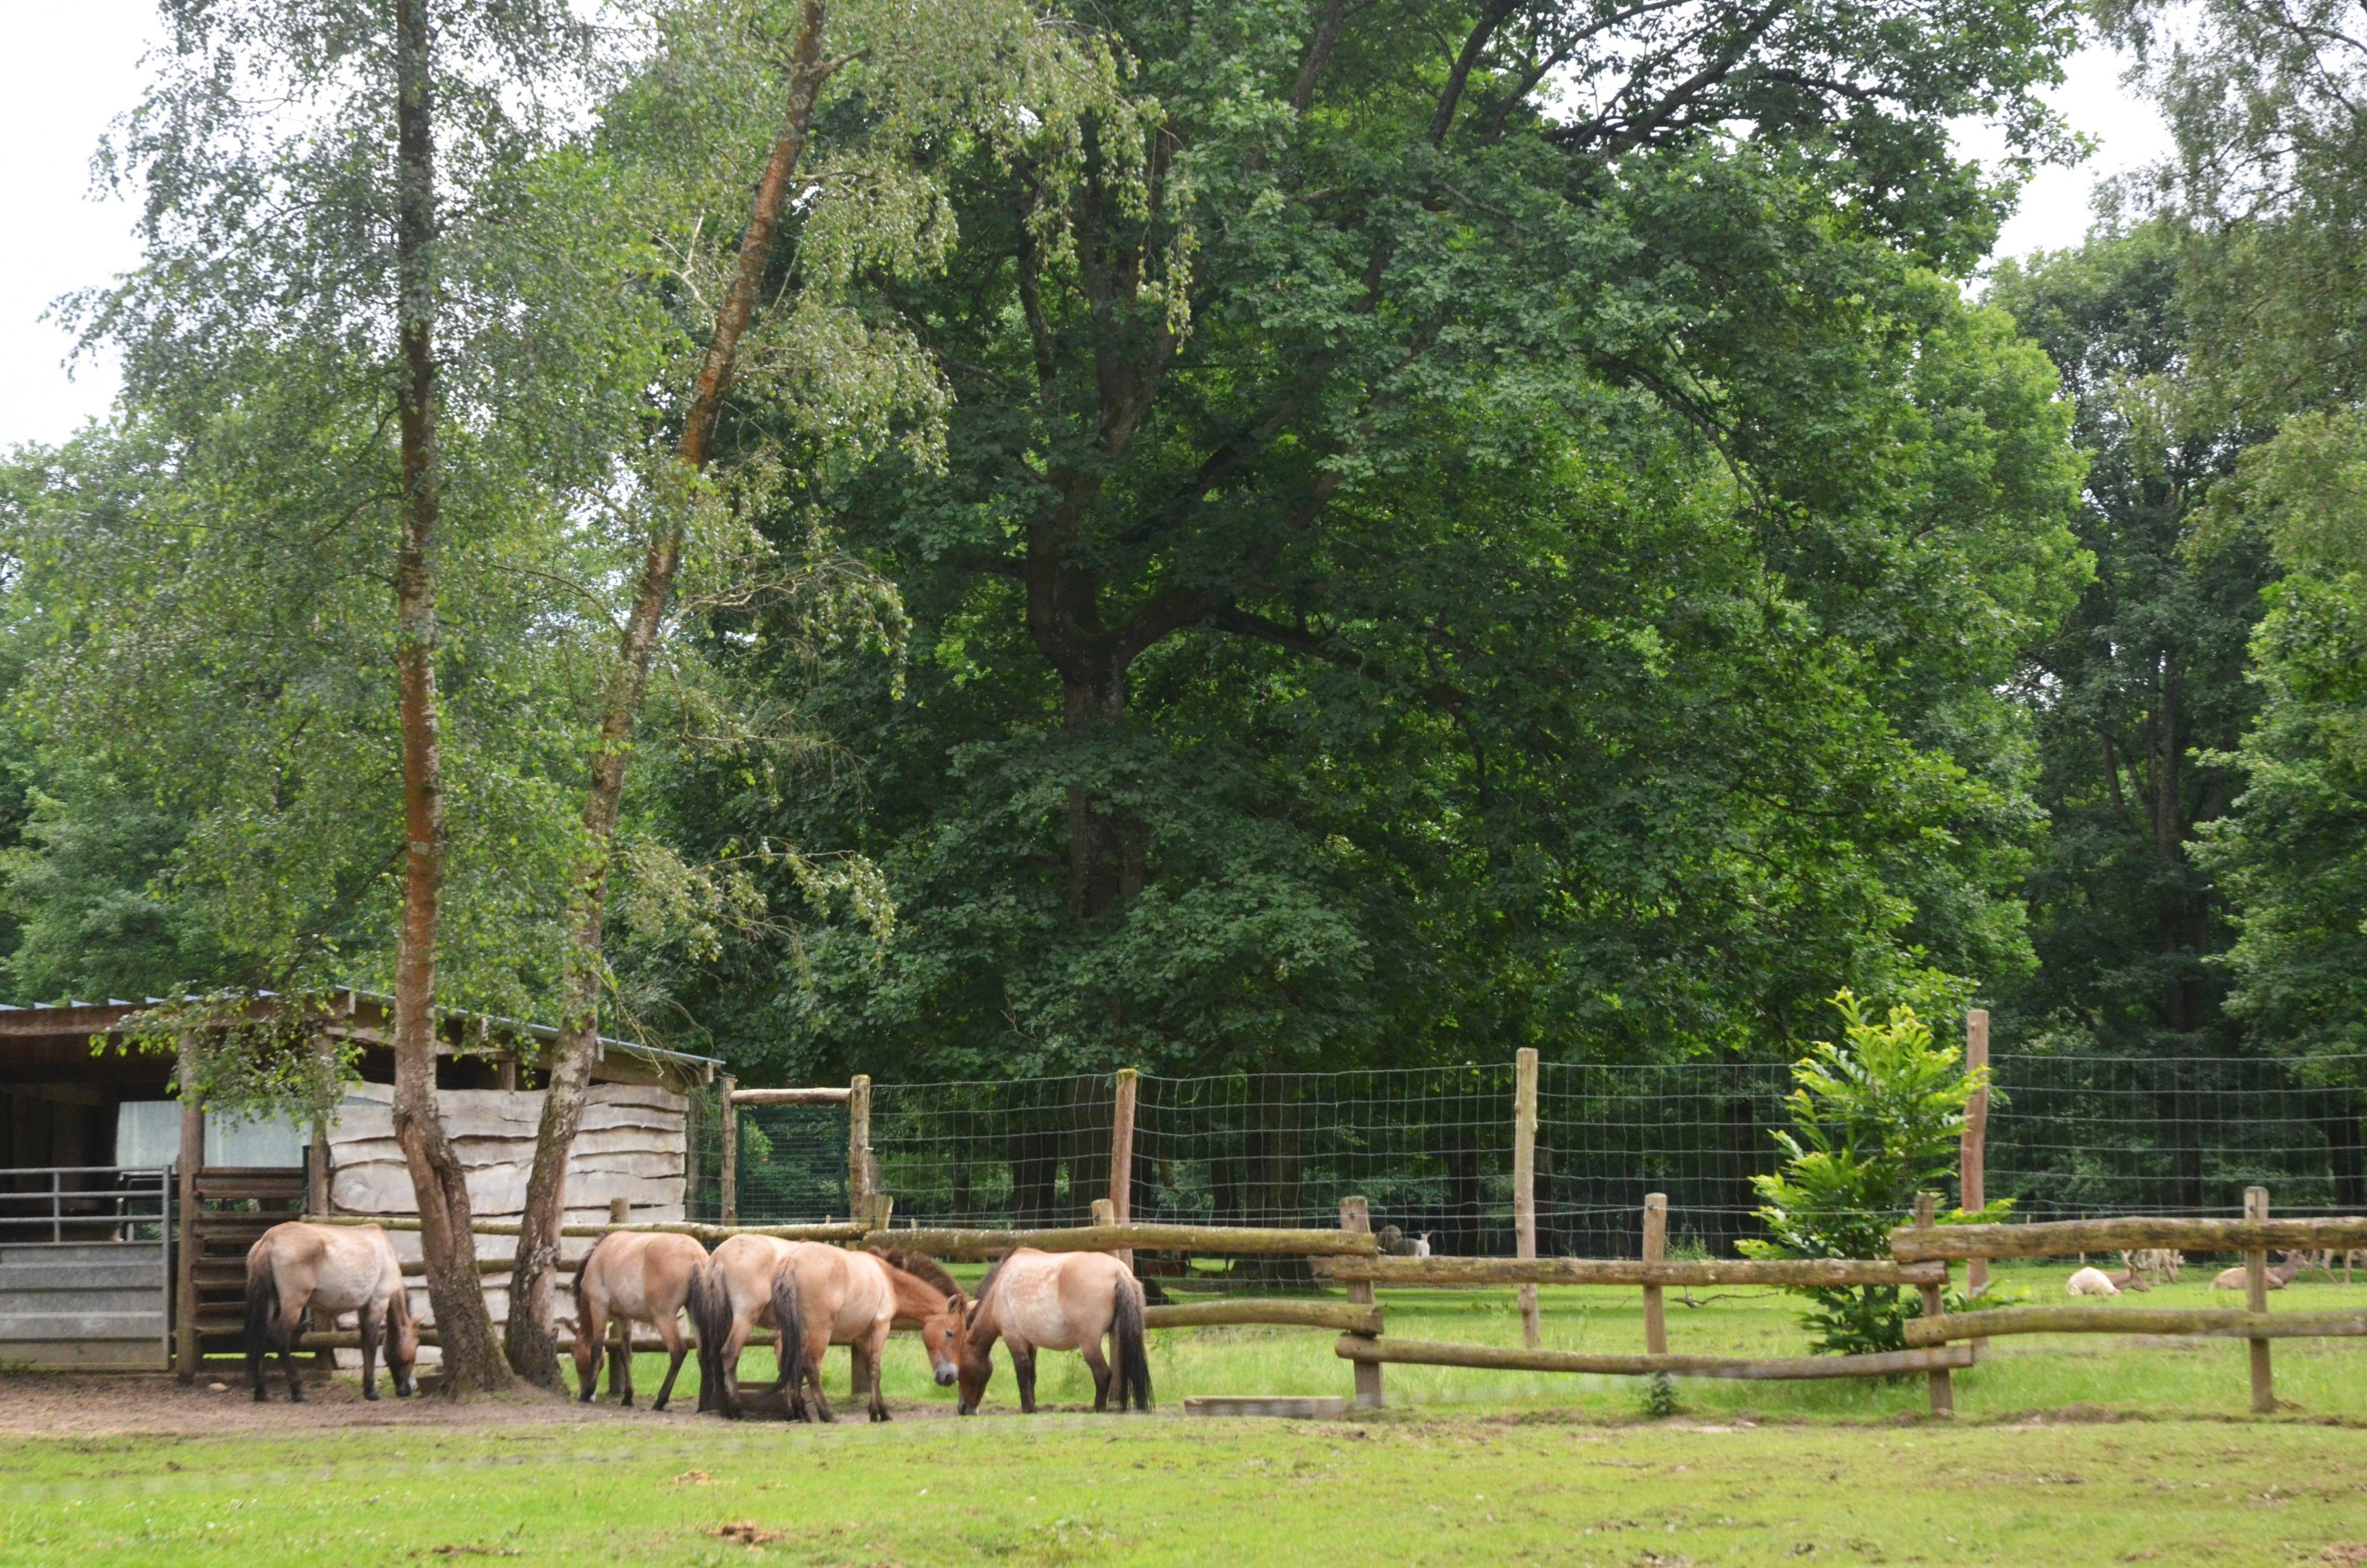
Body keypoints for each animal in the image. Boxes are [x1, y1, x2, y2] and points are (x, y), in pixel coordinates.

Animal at [244, 1221, 417, 1403]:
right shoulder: (378, 1302)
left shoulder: (363, 1308)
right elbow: (371, 1345)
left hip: (270, 1301)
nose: (410, 1388)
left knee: (261, 1339)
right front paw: (372, 1391)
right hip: (293, 1305)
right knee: (281, 1339)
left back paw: (261, 1392)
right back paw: (298, 1391)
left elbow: (364, 1344)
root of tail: (270, 1239)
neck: (386, 1253)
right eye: (415, 1346)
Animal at [571, 1229, 710, 1410]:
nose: (581, 1393)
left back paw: (661, 1400)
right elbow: (625, 1354)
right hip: (695, 1314)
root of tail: (696, 1255)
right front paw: (628, 1396)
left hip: (664, 1317)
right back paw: (703, 1403)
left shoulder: (599, 1307)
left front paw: (589, 1392)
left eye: (573, 1352)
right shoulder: (625, 1316)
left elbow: (596, 1349)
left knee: (678, 1351)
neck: (598, 1257)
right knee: (703, 1351)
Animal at [954, 1247, 1150, 1415]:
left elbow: (1022, 1371)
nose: (962, 1408)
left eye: (961, 1369)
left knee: (1103, 1373)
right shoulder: (1030, 1343)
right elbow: (1031, 1375)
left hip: (1089, 1343)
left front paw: (1028, 1408)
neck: (999, 1289)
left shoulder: (1013, 1337)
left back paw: (1097, 1408)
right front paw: (1033, 1406)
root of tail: (1119, 1271)